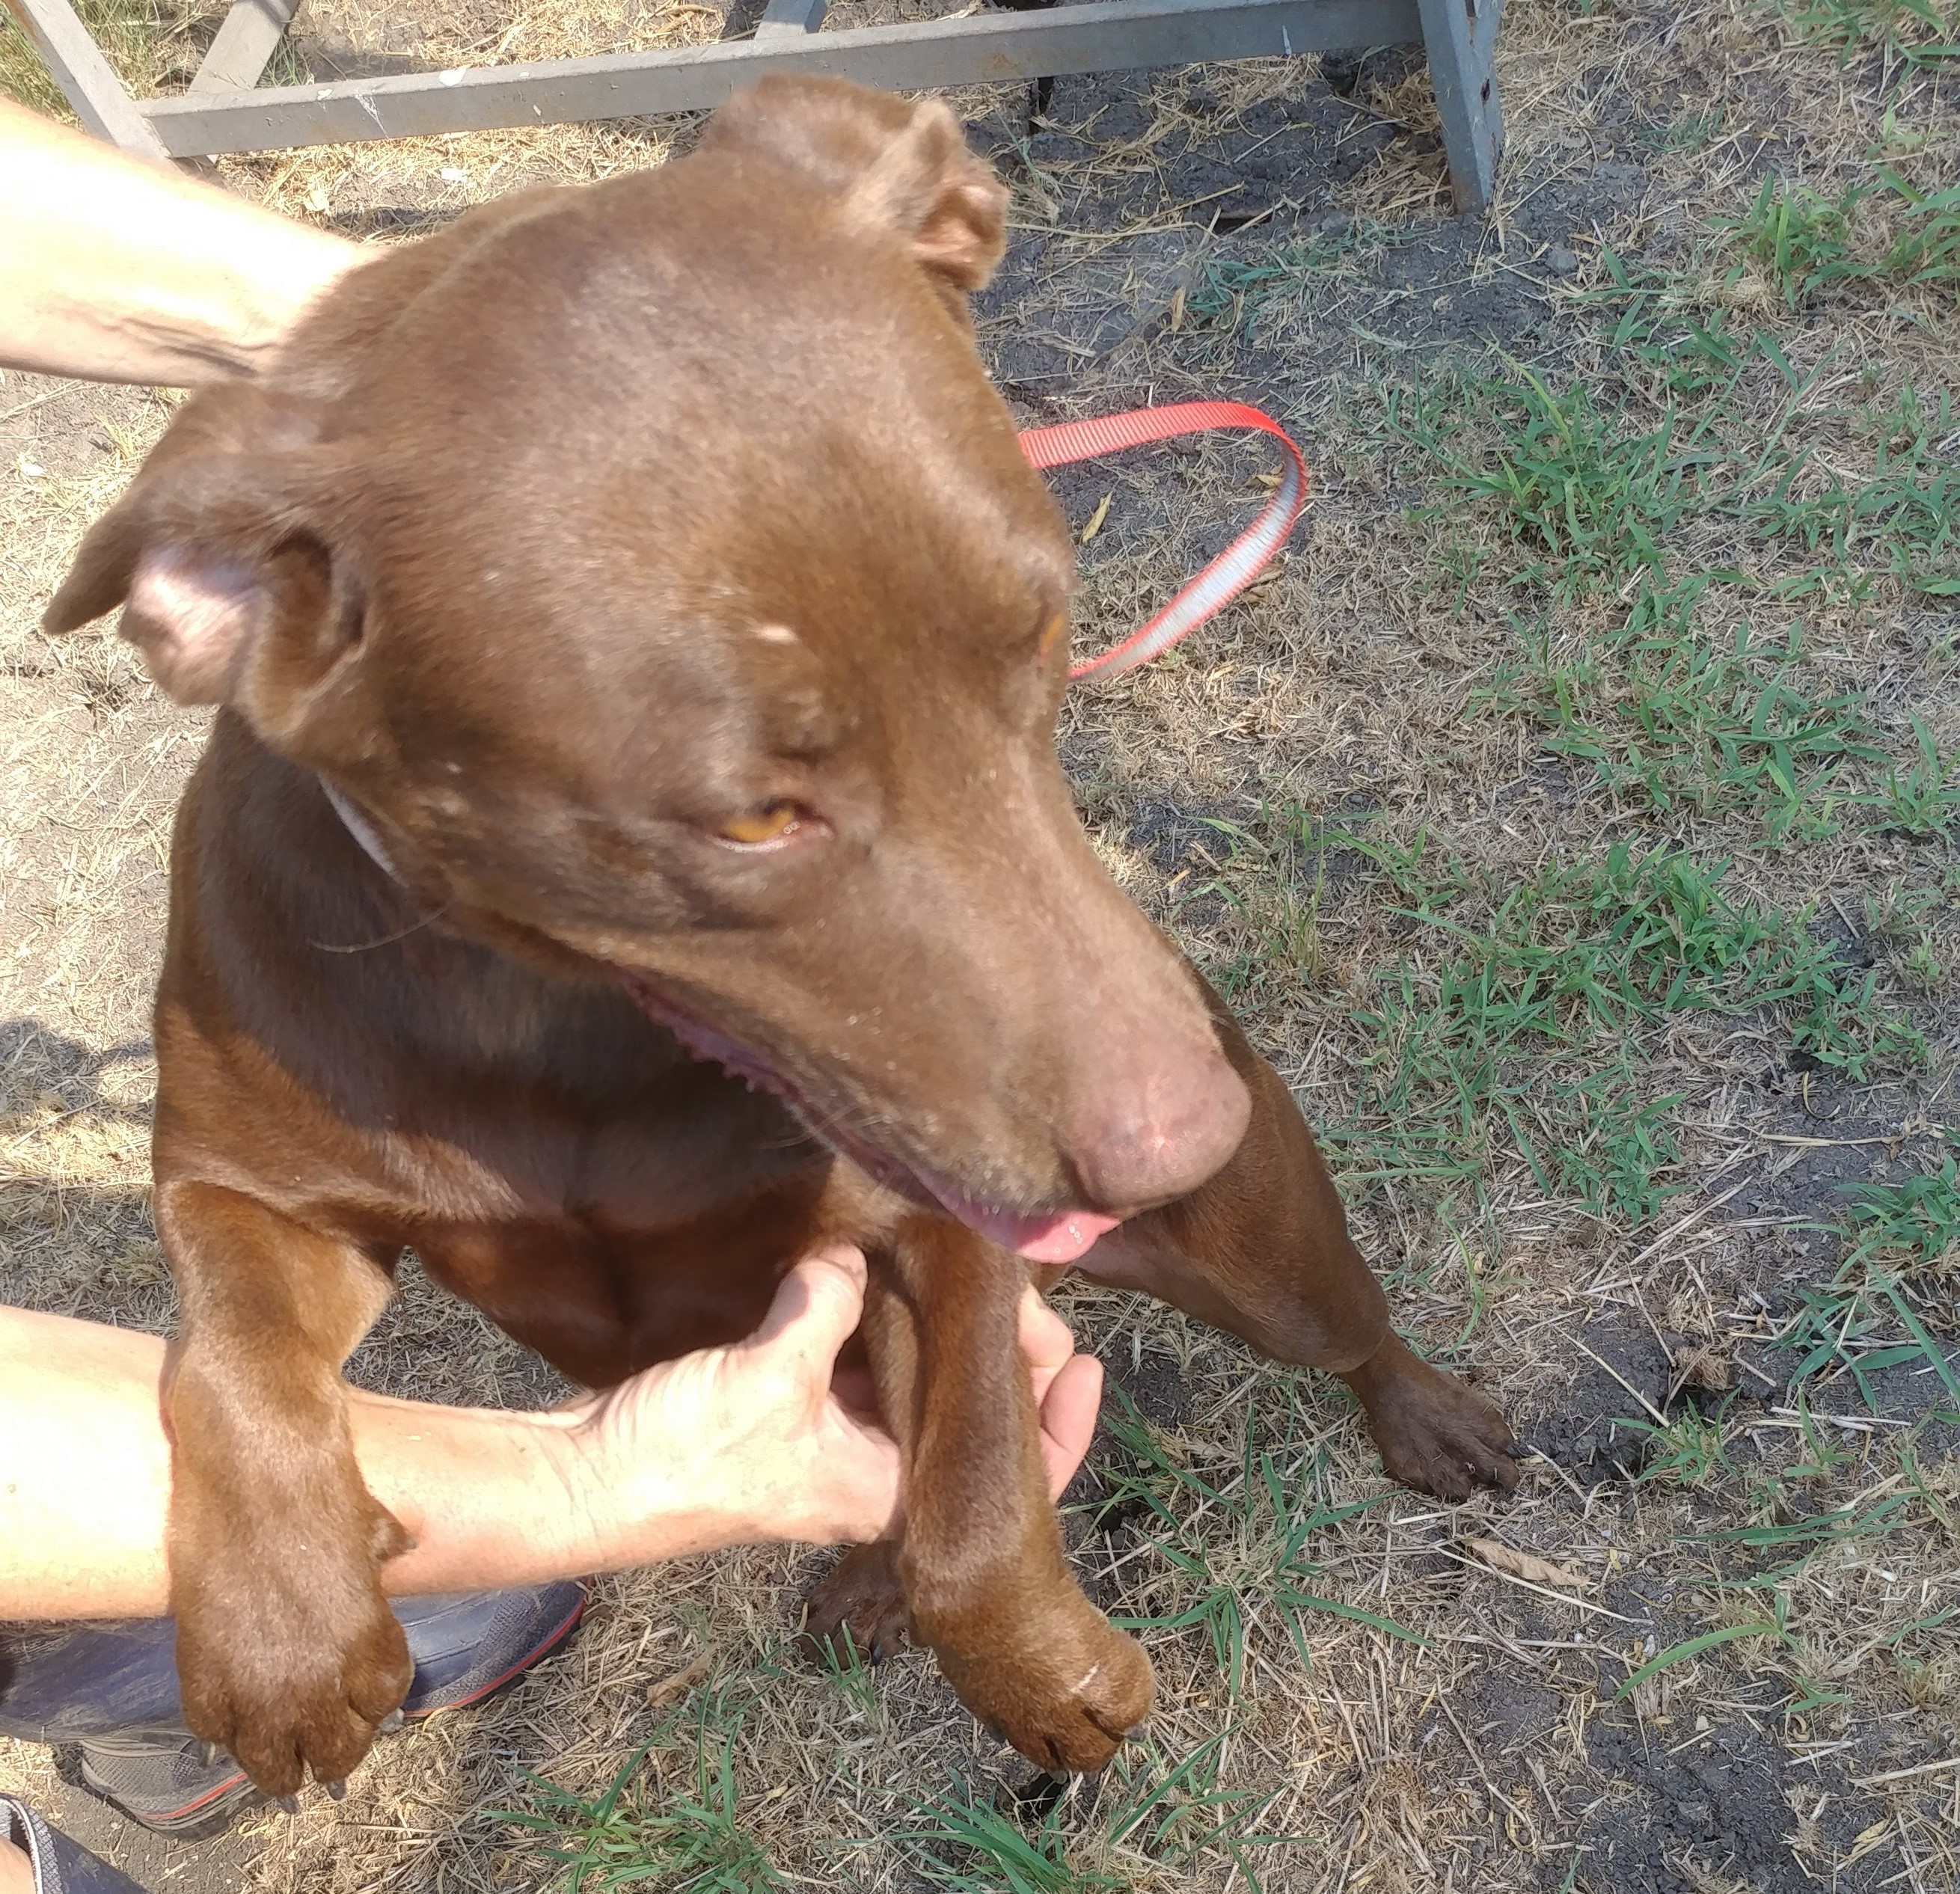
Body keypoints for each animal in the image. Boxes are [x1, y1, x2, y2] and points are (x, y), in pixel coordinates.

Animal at [42, 73, 1513, 1795]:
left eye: (1046, 637)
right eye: (751, 820)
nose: (1184, 1135)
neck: (560, 1021)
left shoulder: (935, 1232)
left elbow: (973, 1501)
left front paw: (1042, 1674)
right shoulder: (247, 1181)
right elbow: (227, 1351)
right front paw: (281, 1634)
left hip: (1268, 1253)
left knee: (1346, 1331)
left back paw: (1427, 1420)